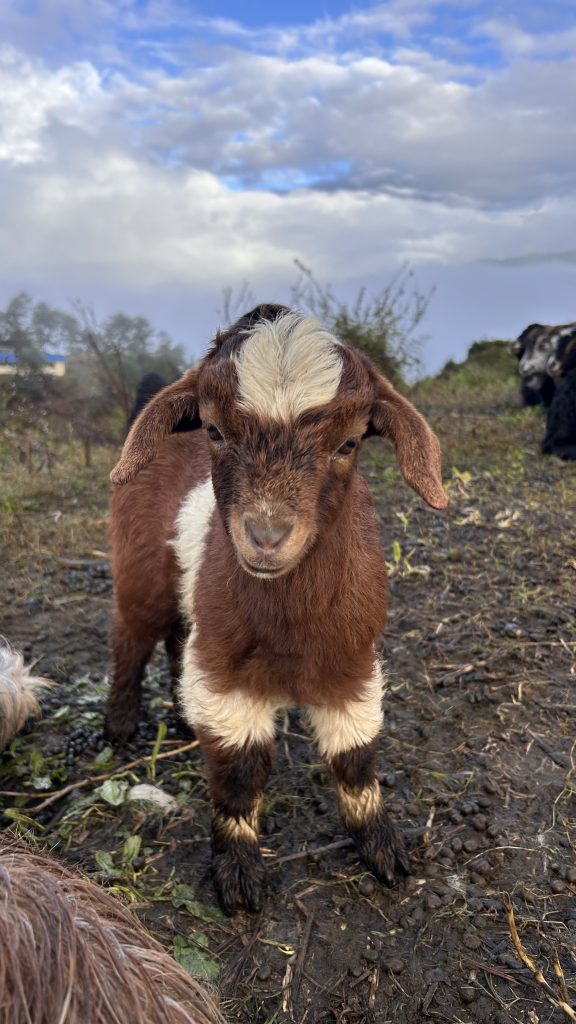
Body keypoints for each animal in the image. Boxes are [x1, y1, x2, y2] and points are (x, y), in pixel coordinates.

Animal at [107, 304, 448, 912]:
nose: (266, 537)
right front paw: (240, 873)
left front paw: (382, 846)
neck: (289, 622)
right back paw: (120, 721)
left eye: (349, 444)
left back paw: (178, 714)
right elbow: (240, 770)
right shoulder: (224, 672)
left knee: (176, 637)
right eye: (214, 430)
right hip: (139, 573)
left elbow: (354, 756)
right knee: (132, 635)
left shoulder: (354, 660)